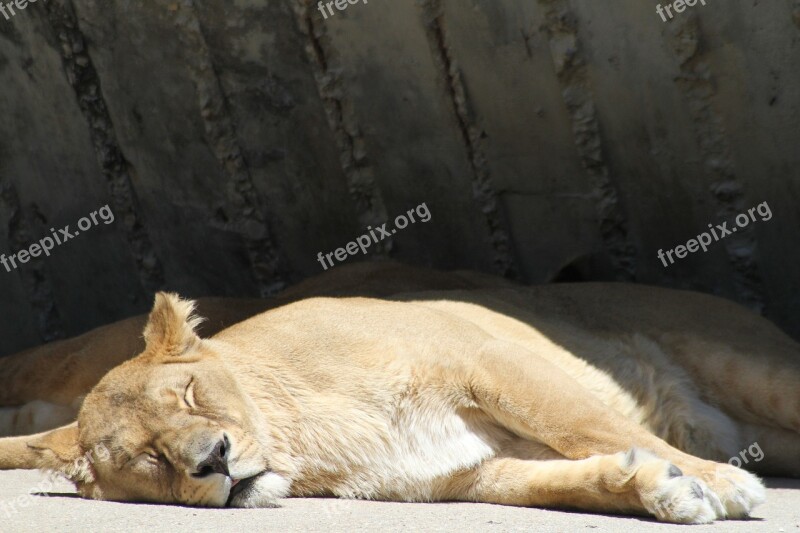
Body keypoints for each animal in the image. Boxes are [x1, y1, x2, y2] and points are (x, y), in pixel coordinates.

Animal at [3, 264, 796, 520]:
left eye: (192, 395)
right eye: (149, 457)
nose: (215, 459)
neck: (303, 436)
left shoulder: (490, 357)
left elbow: (590, 426)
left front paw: (721, 481)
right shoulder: (463, 471)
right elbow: (568, 479)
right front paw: (657, 489)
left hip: (756, 370)